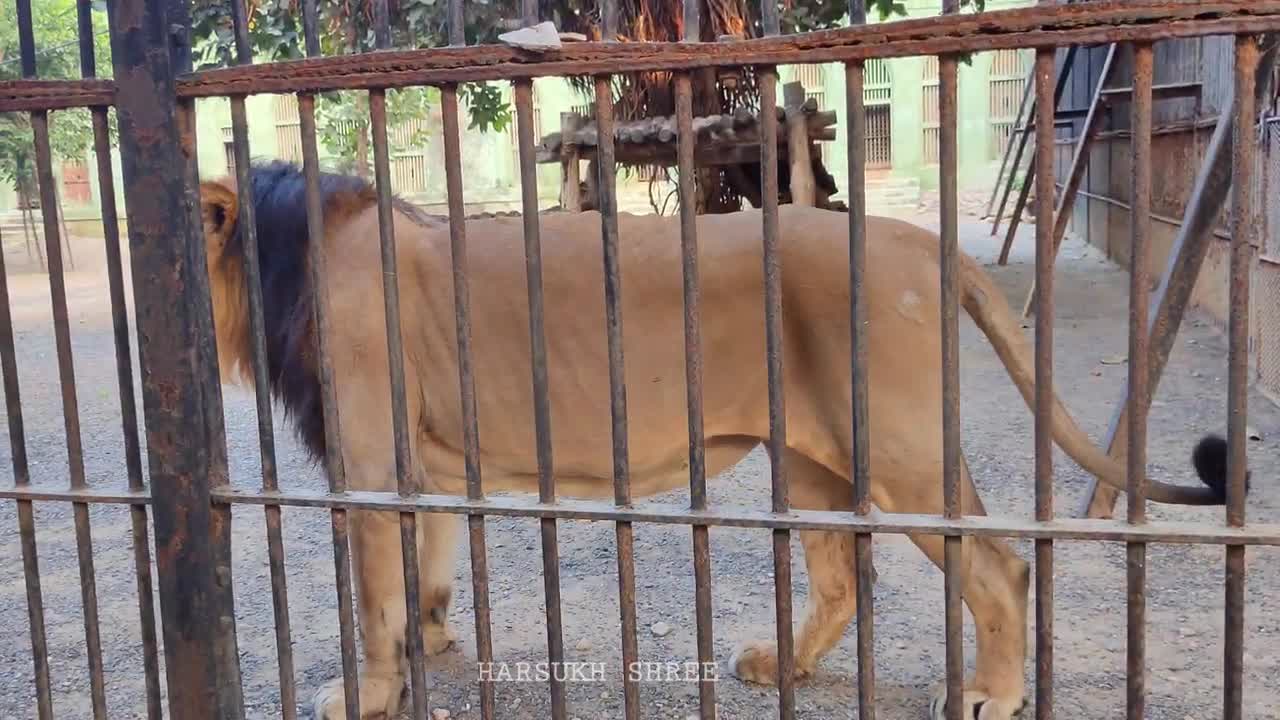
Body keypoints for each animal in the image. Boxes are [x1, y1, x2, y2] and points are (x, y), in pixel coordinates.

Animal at [199, 161, 1239, 717]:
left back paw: (991, 691)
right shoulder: (422, 463)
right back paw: (783, 665)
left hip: (902, 454)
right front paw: (432, 640)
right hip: (813, 458)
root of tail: (923, 242)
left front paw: (366, 693)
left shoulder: (371, 461)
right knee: (843, 579)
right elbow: (426, 571)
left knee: (998, 565)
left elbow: (372, 599)